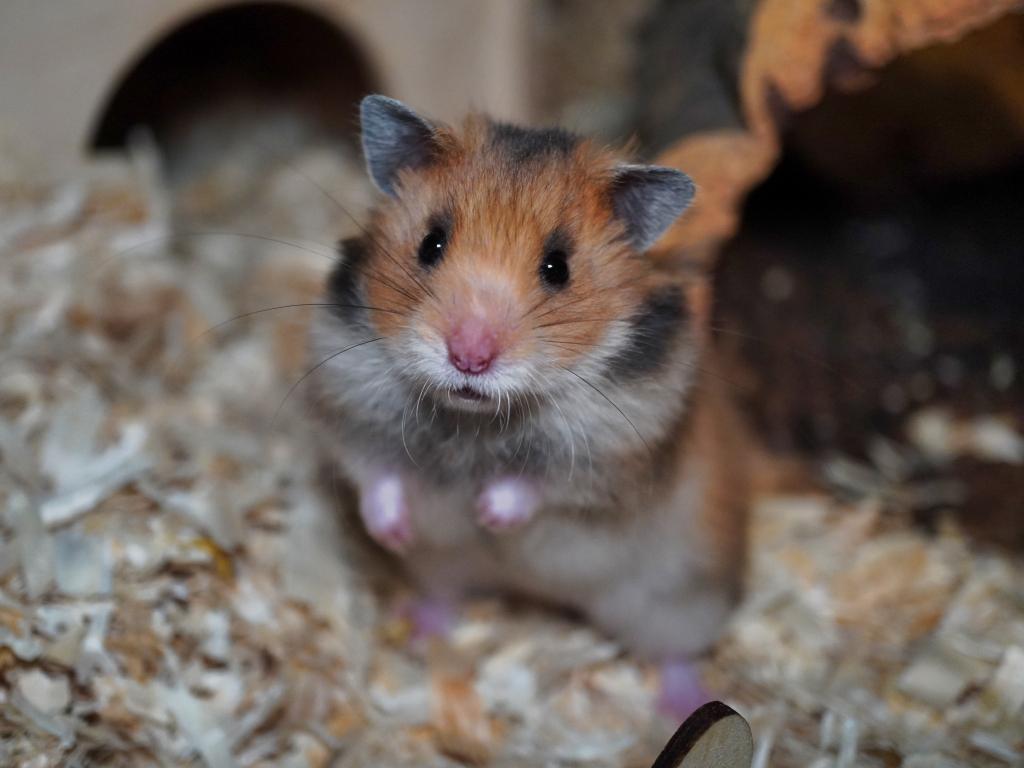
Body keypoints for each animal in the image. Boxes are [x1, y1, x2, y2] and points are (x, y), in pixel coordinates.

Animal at [307, 94, 749, 716]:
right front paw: (392, 531)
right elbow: (375, 476)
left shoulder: (617, 456)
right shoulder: (350, 406)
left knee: (673, 655)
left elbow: (538, 483)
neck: (475, 420)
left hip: (680, 599)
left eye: (556, 267)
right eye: (431, 243)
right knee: (446, 595)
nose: (469, 356)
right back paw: (418, 626)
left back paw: (685, 704)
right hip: (440, 566)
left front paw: (489, 513)